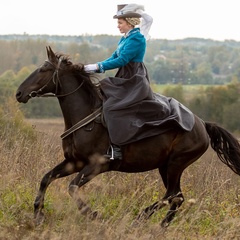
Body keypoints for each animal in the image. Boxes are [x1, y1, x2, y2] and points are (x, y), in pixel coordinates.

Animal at [15, 46, 240, 227]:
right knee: (177, 197)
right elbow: (46, 179)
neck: (86, 118)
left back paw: (141, 218)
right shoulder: (74, 162)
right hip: (165, 166)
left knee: (172, 196)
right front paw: (38, 216)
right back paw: (161, 226)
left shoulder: (96, 165)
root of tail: (202, 123)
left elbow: (72, 188)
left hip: (176, 163)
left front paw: (94, 215)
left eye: (43, 70)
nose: (18, 93)